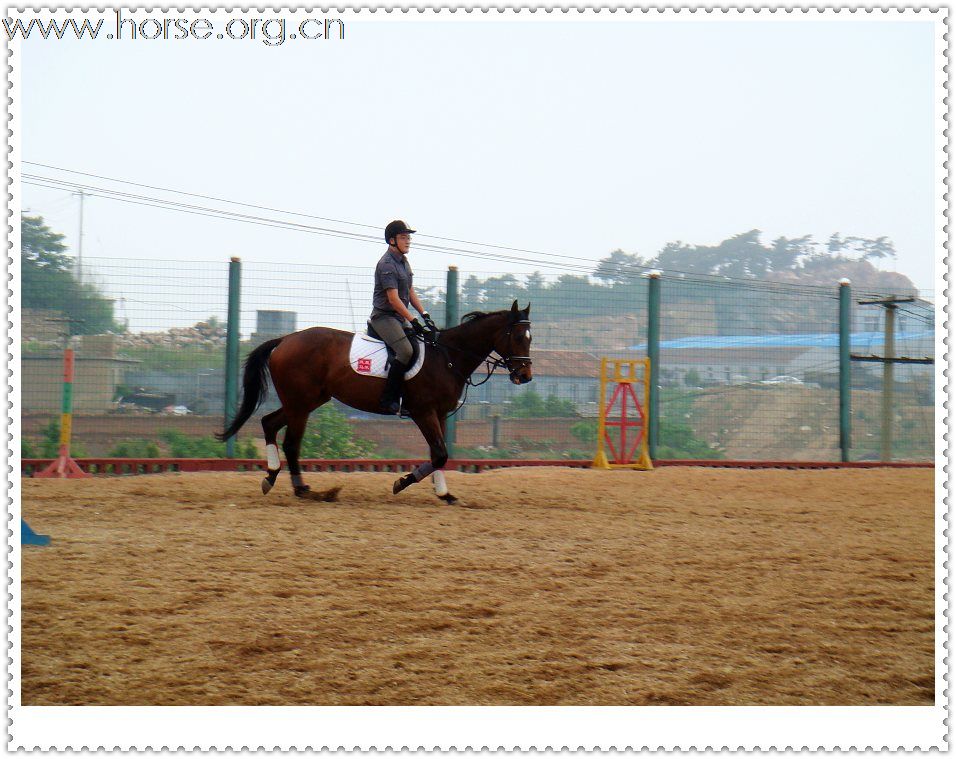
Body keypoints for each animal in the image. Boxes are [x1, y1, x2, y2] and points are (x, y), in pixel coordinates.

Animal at [215, 302, 532, 504]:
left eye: (530, 338)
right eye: (518, 336)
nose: (525, 376)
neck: (447, 357)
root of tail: (285, 340)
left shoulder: (440, 414)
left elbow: (440, 454)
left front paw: (444, 494)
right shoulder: (423, 412)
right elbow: (439, 454)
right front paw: (402, 483)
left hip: (306, 401)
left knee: (269, 423)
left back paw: (271, 477)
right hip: (301, 403)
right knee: (291, 443)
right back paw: (304, 489)